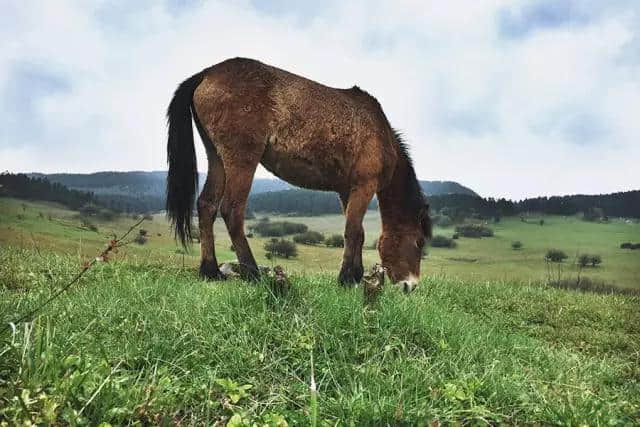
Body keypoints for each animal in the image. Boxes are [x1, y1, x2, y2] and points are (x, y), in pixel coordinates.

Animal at [168, 56, 432, 292]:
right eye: (419, 242)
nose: (410, 286)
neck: (380, 134)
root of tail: (207, 73)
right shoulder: (364, 186)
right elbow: (353, 231)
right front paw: (346, 279)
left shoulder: (347, 190)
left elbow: (358, 232)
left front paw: (355, 275)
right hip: (241, 160)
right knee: (231, 210)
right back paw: (253, 273)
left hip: (217, 158)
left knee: (207, 205)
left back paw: (210, 271)